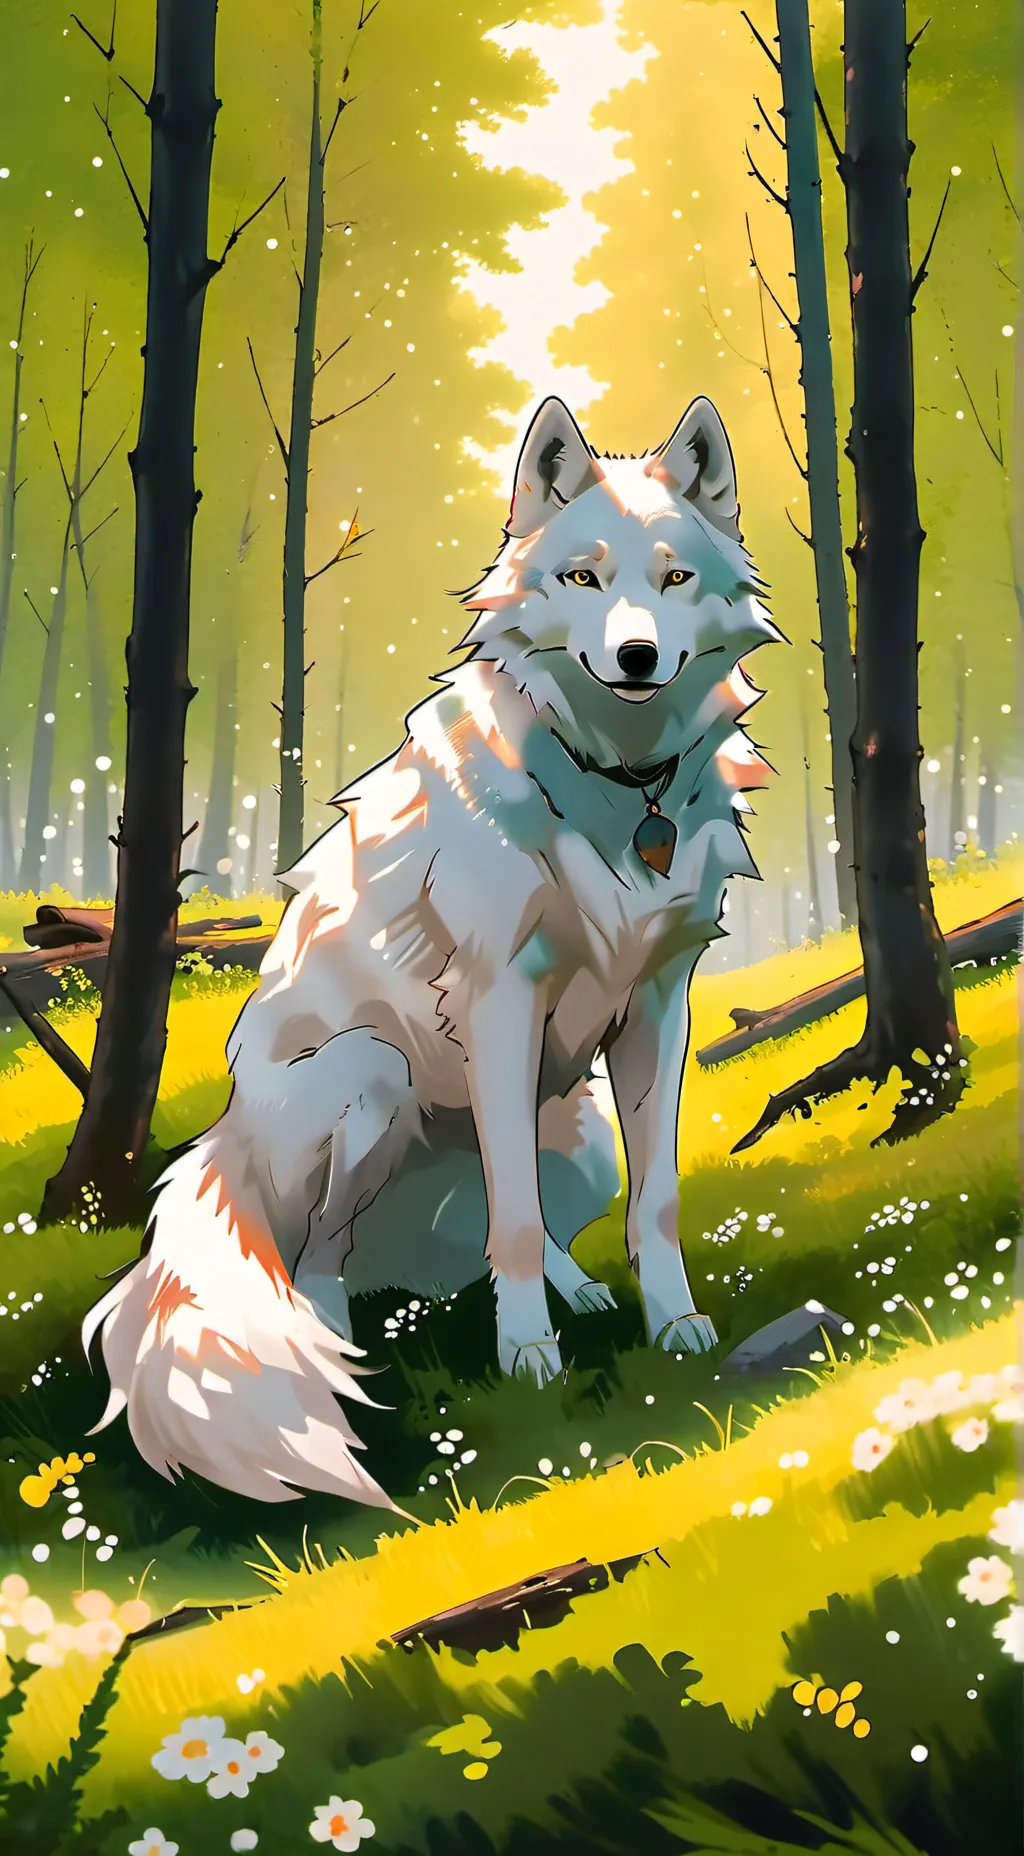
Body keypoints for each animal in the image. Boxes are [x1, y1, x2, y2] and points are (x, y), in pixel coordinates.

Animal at [83, 394, 779, 1509]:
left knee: (505, 1214)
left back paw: (578, 1293)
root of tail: (226, 1145)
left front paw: (671, 1326)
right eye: (582, 579)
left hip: (573, 1123)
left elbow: (653, 1201)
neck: (620, 784)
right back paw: (342, 1354)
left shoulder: (660, 1004)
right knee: (319, 1264)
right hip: (372, 1077)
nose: (635, 657)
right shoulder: (499, 1002)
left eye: (673, 579)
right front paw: (528, 1359)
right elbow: (516, 1222)